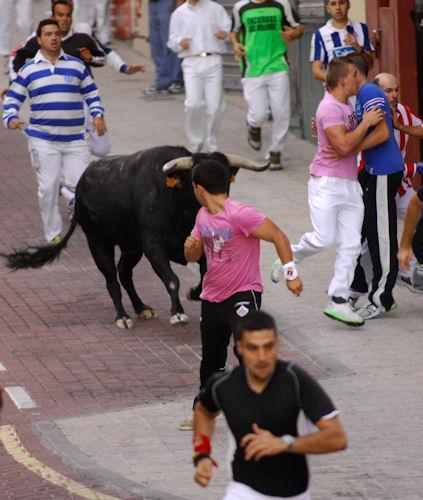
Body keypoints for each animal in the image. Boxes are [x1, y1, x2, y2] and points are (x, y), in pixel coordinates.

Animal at [0, 146, 268, 328]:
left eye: (225, 177)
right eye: (196, 177)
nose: (222, 203)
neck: (177, 202)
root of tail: (81, 184)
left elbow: (205, 276)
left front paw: (194, 294)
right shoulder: (153, 246)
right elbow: (172, 279)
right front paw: (177, 313)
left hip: (131, 246)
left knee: (124, 272)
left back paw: (141, 308)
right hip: (98, 242)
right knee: (111, 278)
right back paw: (123, 317)